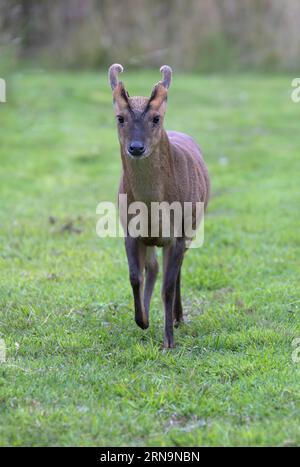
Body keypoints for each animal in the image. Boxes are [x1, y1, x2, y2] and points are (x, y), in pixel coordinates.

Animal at [109, 64, 210, 348]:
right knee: (153, 267)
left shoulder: (178, 233)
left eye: (155, 118)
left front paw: (168, 343)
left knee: (176, 274)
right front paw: (142, 320)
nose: (136, 147)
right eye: (120, 117)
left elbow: (167, 287)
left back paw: (178, 318)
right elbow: (135, 277)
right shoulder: (130, 231)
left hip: (191, 227)